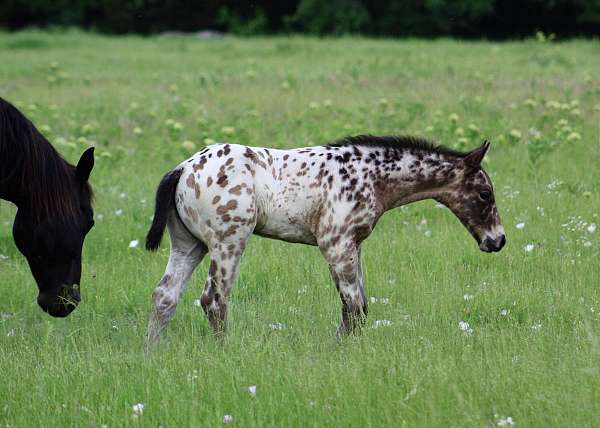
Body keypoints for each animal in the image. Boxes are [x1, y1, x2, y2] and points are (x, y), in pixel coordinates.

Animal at [145, 137, 506, 348]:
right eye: (484, 194)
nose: (498, 240)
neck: (371, 176)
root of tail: (183, 168)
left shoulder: (354, 244)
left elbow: (361, 306)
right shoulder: (335, 242)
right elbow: (353, 307)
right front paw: (341, 351)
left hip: (189, 245)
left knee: (165, 296)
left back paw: (151, 352)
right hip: (228, 242)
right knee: (214, 299)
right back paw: (226, 351)